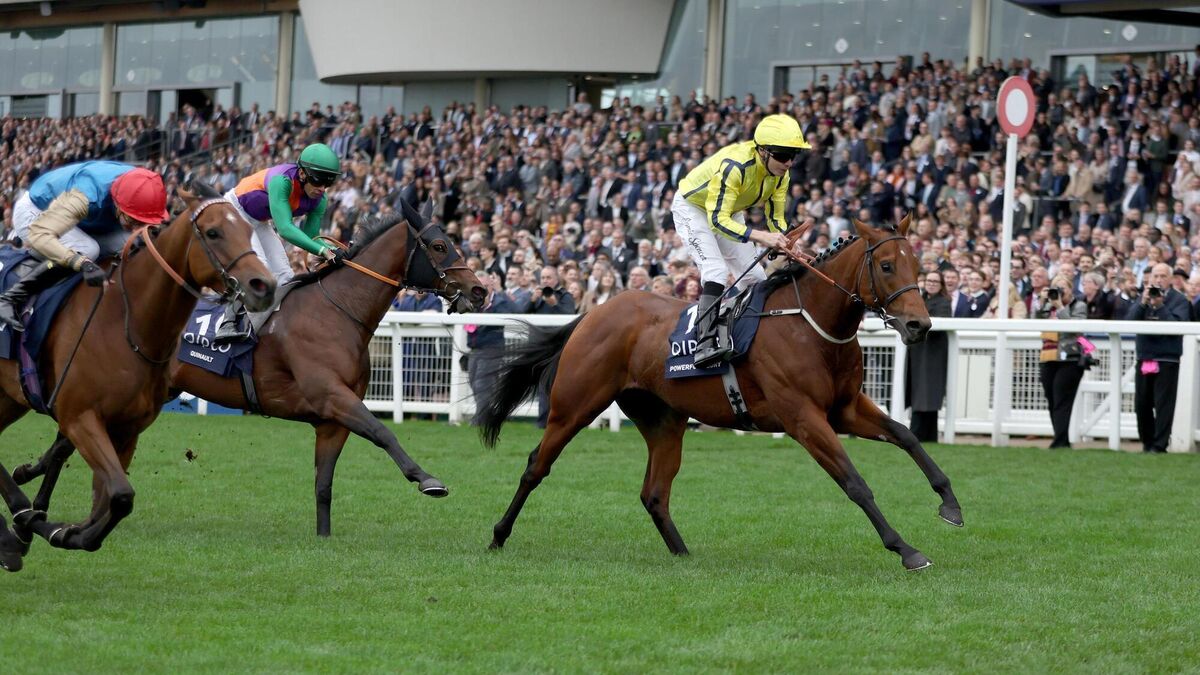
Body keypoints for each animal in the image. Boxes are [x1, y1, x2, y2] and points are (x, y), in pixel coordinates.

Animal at [0, 187, 275, 568]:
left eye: (249, 232)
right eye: (214, 232)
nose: (264, 285)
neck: (128, 323)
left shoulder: (127, 427)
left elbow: (110, 499)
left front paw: (65, 530)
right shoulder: (80, 417)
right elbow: (119, 494)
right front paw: (57, 529)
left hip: (10, 398)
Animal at [15, 197, 488, 538]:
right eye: (440, 245)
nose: (479, 291)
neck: (337, 310)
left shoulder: (331, 420)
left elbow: (324, 485)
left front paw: (323, 539)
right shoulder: (332, 396)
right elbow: (383, 432)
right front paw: (427, 479)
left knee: (65, 441)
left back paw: (33, 494)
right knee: (68, 439)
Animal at [475, 215, 963, 571]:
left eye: (919, 267)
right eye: (886, 266)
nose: (920, 325)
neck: (809, 323)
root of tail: (594, 312)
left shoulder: (844, 409)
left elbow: (907, 435)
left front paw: (950, 504)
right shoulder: (804, 418)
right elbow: (856, 483)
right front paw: (905, 549)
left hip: (664, 421)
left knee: (654, 493)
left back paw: (683, 553)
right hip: (574, 406)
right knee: (536, 467)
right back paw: (498, 535)